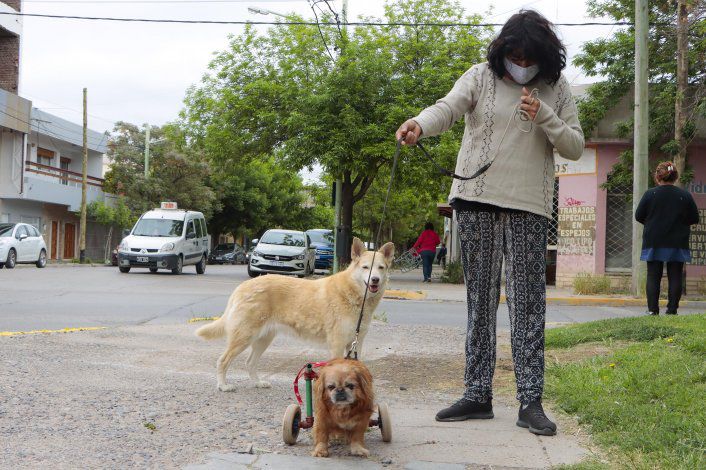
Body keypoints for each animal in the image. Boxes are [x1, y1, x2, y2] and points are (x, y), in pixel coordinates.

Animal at [195, 237, 394, 392]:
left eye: (381, 268)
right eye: (366, 267)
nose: (375, 280)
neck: (356, 296)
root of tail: (243, 286)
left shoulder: (356, 343)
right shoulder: (337, 344)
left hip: (263, 339)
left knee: (249, 363)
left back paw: (258, 383)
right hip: (244, 337)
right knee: (223, 361)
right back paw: (223, 385)